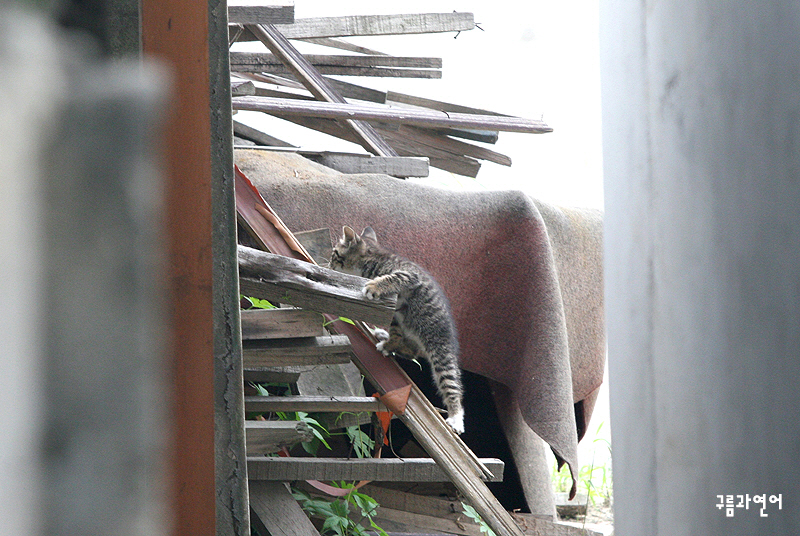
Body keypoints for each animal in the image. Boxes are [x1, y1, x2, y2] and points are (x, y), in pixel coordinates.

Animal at [332, 224, 466, 434]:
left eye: (335, 253)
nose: (329, 264)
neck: (373, 259)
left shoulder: (409, 275)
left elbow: (393, 278)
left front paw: (374, 285)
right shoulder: (396, 312)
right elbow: (396, 332)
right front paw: (389, 342)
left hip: (439, 347)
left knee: (450, 383)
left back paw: (456, 417)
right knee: (411, 350)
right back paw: (386, 341)